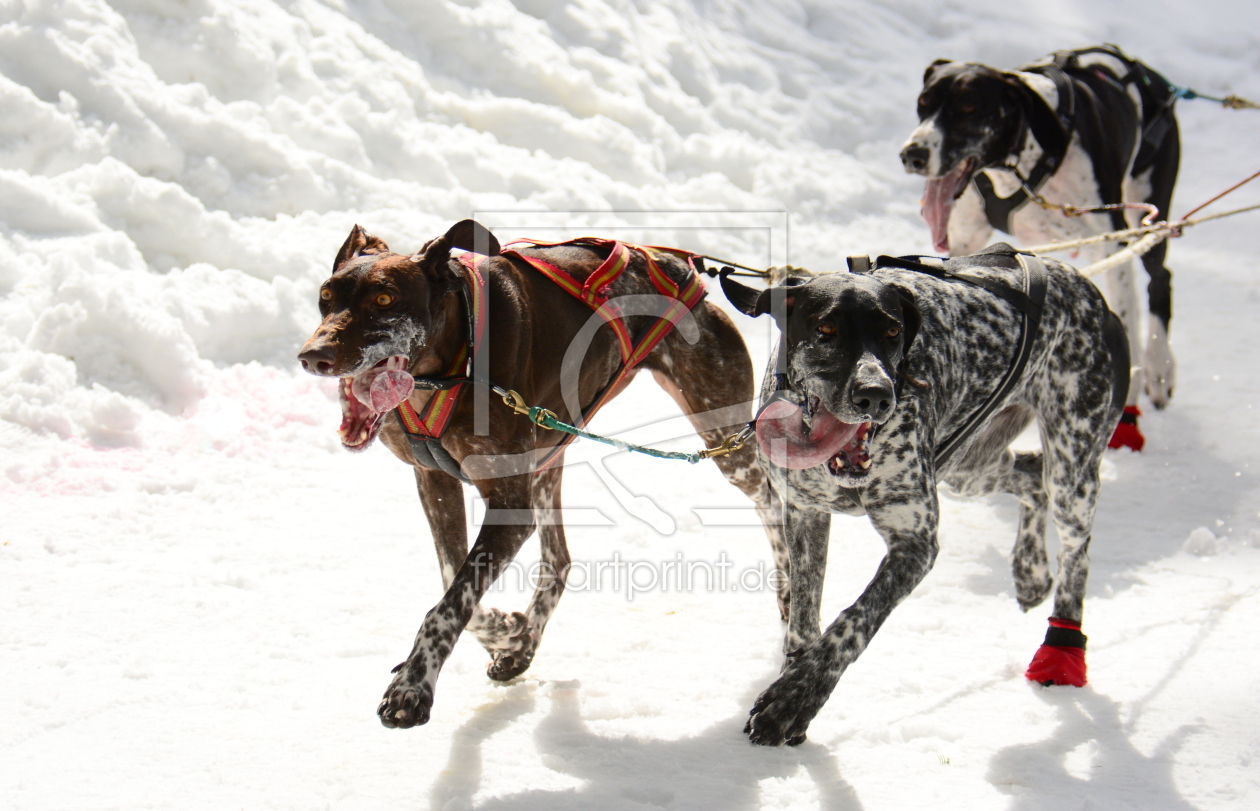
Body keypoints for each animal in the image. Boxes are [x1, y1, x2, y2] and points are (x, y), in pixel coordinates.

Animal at [725, 245, 1128, 745]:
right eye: (825, 331)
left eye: (893, 332)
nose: (877, 396)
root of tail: (1091, 290)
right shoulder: (805, 512)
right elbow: (803, 611)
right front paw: (792, 675)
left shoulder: (914, 544)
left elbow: (854, 622)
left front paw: (794, 701)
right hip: (969, 466)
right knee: (1031, 475)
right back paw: (1030, 570)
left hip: (1072, 472)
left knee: (1077, 554)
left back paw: (1062, 647)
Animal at [902, 42, 1174, 450]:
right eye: (923, 102)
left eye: (968, 107)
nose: (912, 154)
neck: (1027, 160)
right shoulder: (966, 242)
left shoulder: (1113, 248)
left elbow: (1128, 317)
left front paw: (1129, 405)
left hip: (1151, 215)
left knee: (1161, 279)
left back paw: (1160, 367)